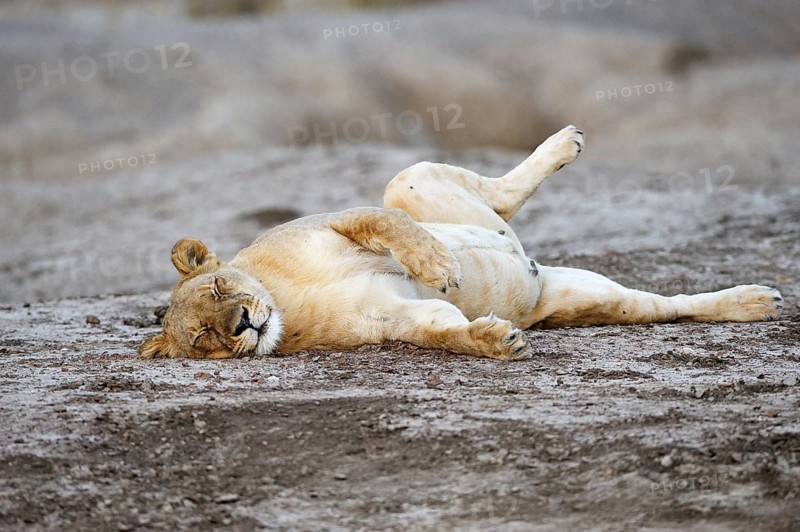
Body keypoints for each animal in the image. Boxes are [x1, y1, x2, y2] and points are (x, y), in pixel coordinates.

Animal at [139, 125, 784, 361]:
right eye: (204, 338)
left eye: (219, 286)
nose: (242, 323)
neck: (286, 297)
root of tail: (532, 269)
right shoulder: (389, 320)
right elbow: (442, 329)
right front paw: (495, 340)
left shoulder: (333, 221)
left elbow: (391, 228)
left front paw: (437, 265)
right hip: (591, 299)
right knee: (666, 307)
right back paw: (753, 302)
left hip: (412, 181)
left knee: (494, 197)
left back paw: (565, 142)